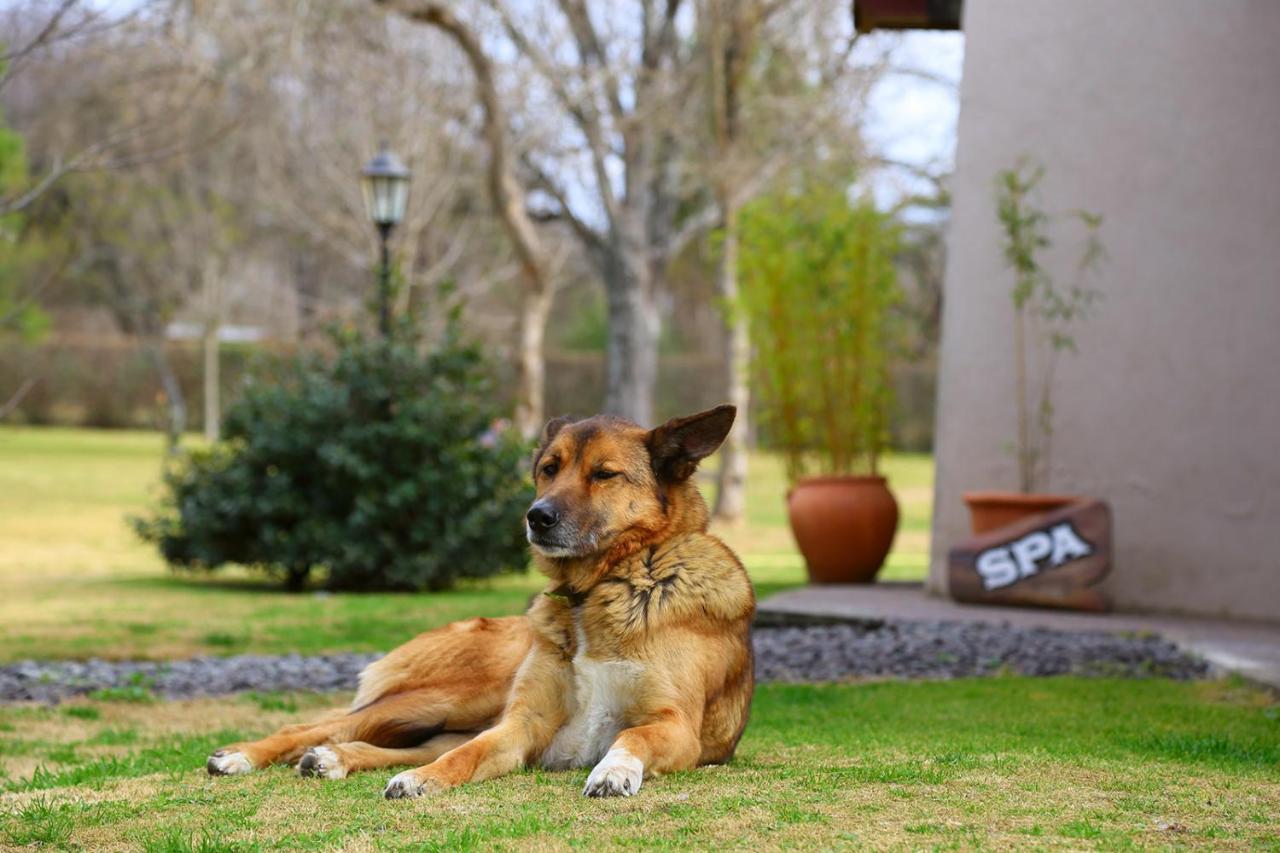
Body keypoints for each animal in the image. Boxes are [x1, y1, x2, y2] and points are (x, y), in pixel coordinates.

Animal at [204, 404, 752, 799]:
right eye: (549, 468)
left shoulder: (676, 727)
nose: (537, 516)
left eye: (604, 475)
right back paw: (242, 756)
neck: (596, 589)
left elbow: (630, 736)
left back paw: (333, 758)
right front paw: (425, 779)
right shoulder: (522, 723)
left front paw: (613, 771)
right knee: (320, 725)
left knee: (396, 743)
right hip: (451, 698)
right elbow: (463, 756)